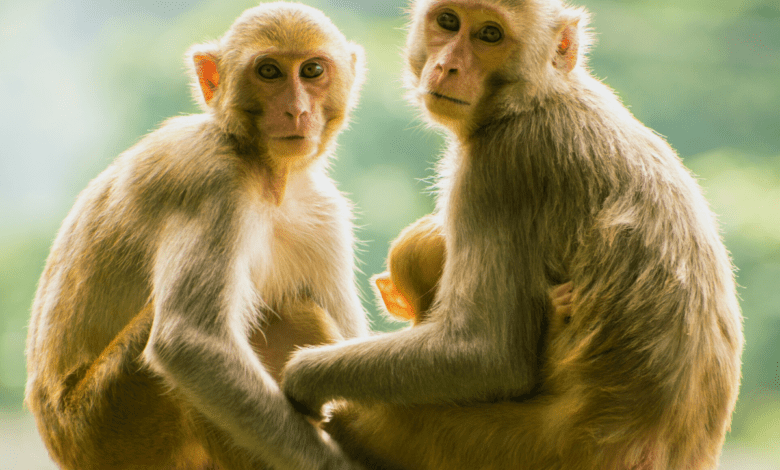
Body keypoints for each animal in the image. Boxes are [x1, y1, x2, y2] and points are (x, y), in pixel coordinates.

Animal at [25, 4, 370, 469]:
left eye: (312, 70)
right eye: (269, 71)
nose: (297, 111)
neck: (265, 174)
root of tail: (59, 441)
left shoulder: (325, 214)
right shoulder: (208, 177)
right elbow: (189, 343)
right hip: (111, 426)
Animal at [282, 0, 744, 468]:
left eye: (490, 35)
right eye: (448, 21)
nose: (447, 66)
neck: (539, 96)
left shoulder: (500, 168)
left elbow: (487, 354)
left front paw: (304, 377)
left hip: (491, 445)